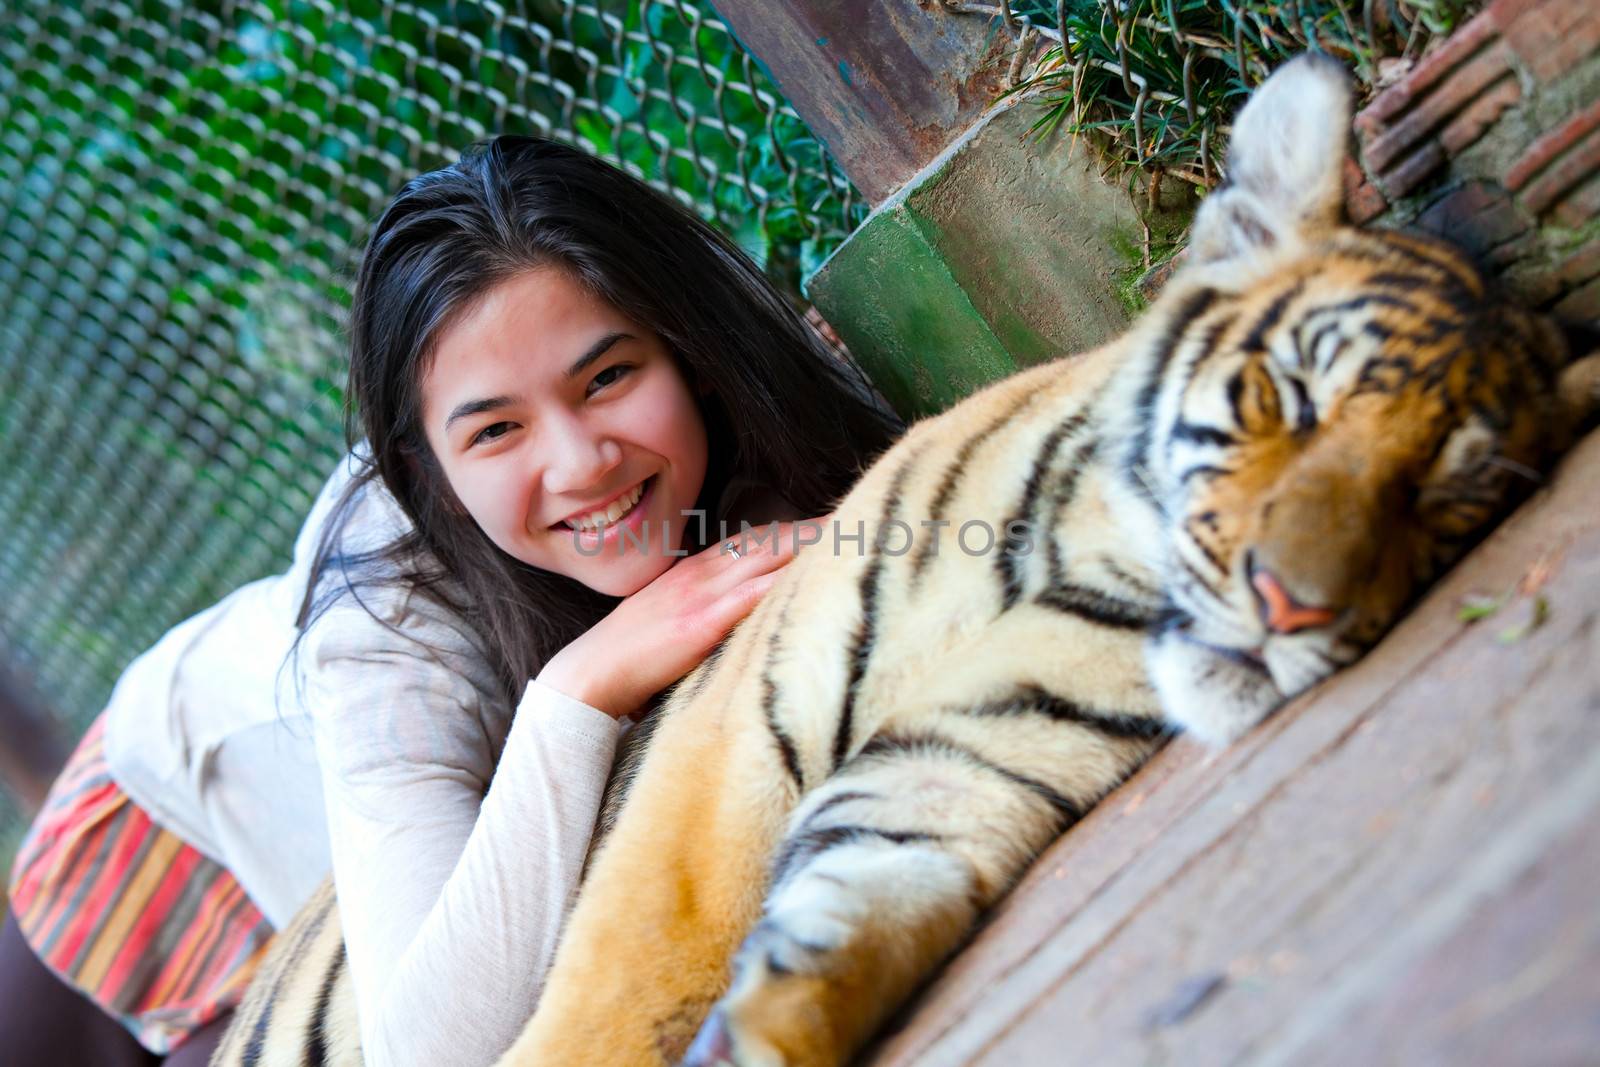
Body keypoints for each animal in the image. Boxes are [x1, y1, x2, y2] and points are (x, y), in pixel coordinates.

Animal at [216, 56, 1600, 1067]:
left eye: (1451, 493)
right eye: (1295, 398)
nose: (1289, 604)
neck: (1076, 569)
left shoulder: (961, 763)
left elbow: (855, 903)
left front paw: (763, 1025)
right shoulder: (708, 790)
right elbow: (609, 1005)